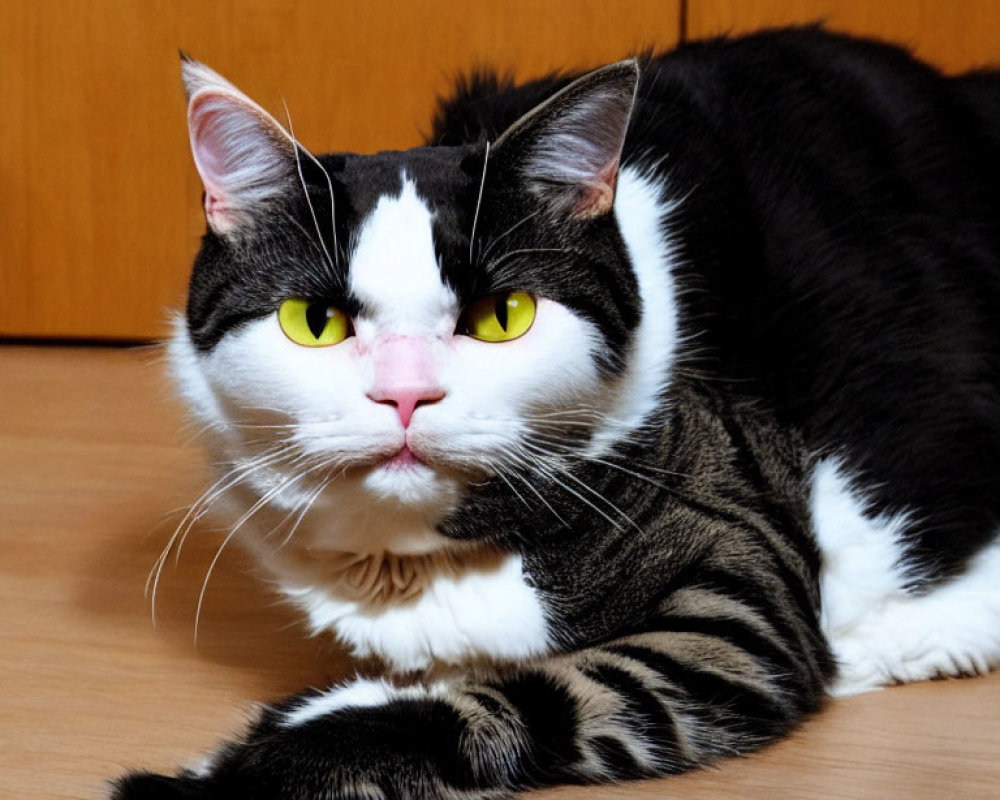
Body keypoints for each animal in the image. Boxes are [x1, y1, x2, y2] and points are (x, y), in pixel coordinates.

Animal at [113, 25, 1000, 800]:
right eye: (316, 322)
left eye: (502, 315)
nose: (406, 393)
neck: (416, 569)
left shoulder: (740, 590)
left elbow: (534, 697)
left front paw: (223, 773)